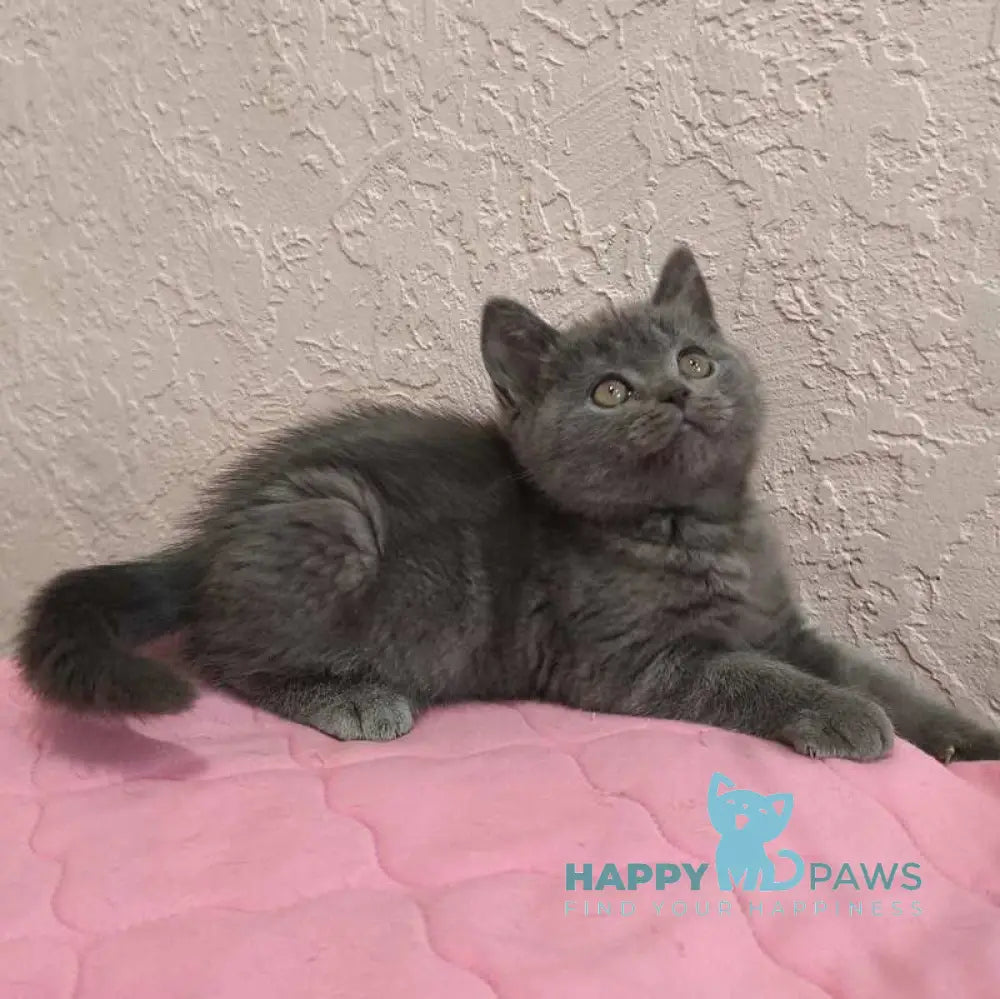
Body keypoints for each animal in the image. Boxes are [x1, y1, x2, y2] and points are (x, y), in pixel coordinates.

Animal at [17, 245, 1000, 762]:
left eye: (693, 358)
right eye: (609, 391)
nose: (675, 392)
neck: (695, 527)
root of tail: (209, 537)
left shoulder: (786, 627)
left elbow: (875, 674)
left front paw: (964, 735)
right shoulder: (627, 663)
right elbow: (753, 677)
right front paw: (845, 717)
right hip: (335, 519)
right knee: (220, 653)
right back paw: (350, 697)